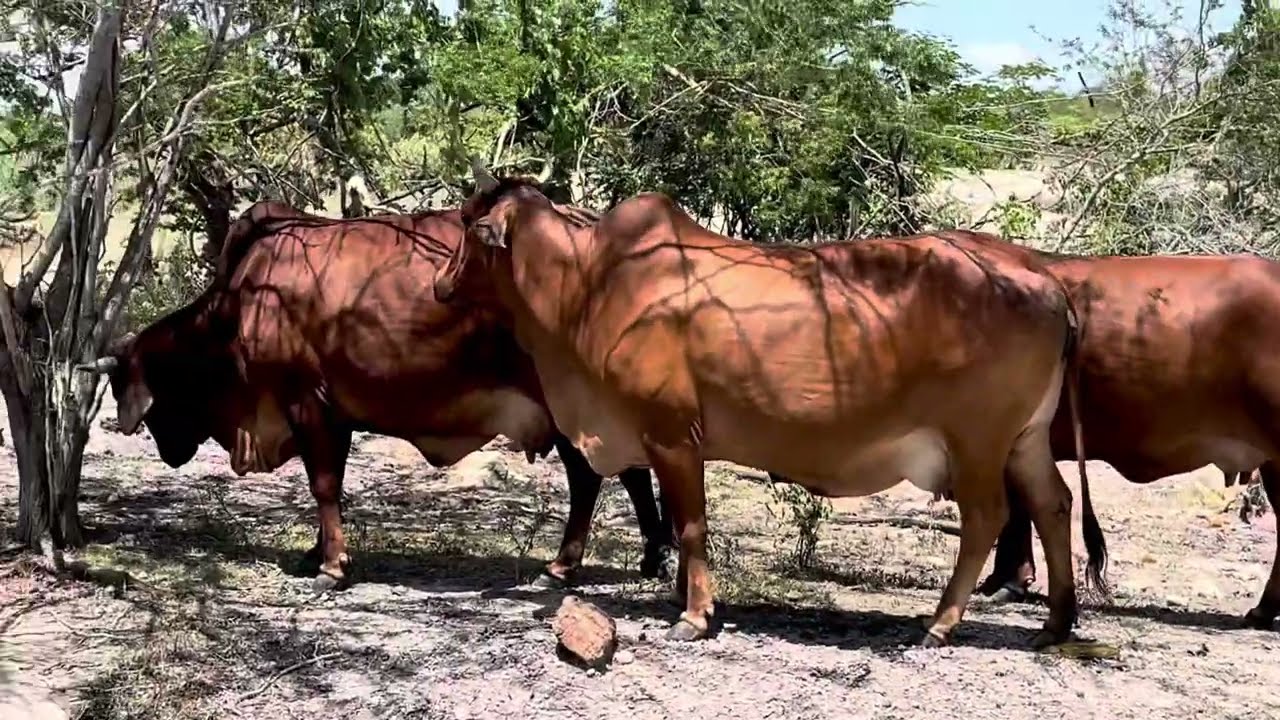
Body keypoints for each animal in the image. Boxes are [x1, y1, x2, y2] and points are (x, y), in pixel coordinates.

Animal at [78, 201, 677, 592]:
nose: (168, 452)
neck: (239, 307)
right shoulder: (335, 414)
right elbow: (331, 489)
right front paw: (316, 553)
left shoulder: (307, 403)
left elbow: (323, 486)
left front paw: (331, 568)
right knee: (628, 473)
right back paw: (652, 555)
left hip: (566, 404)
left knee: (590, 480)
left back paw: (565, 565)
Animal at [432, 162, 1107, 648]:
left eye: (467, 224)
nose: (440, 284)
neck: (590, 282)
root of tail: (1046, 282)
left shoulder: (671, 433)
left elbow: (691, 523)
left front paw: (693, 615)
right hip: (1025, 439)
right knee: (1053, 505)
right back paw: (1056, 623)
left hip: (977, 441)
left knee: (988, 518)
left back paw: (941, 623)